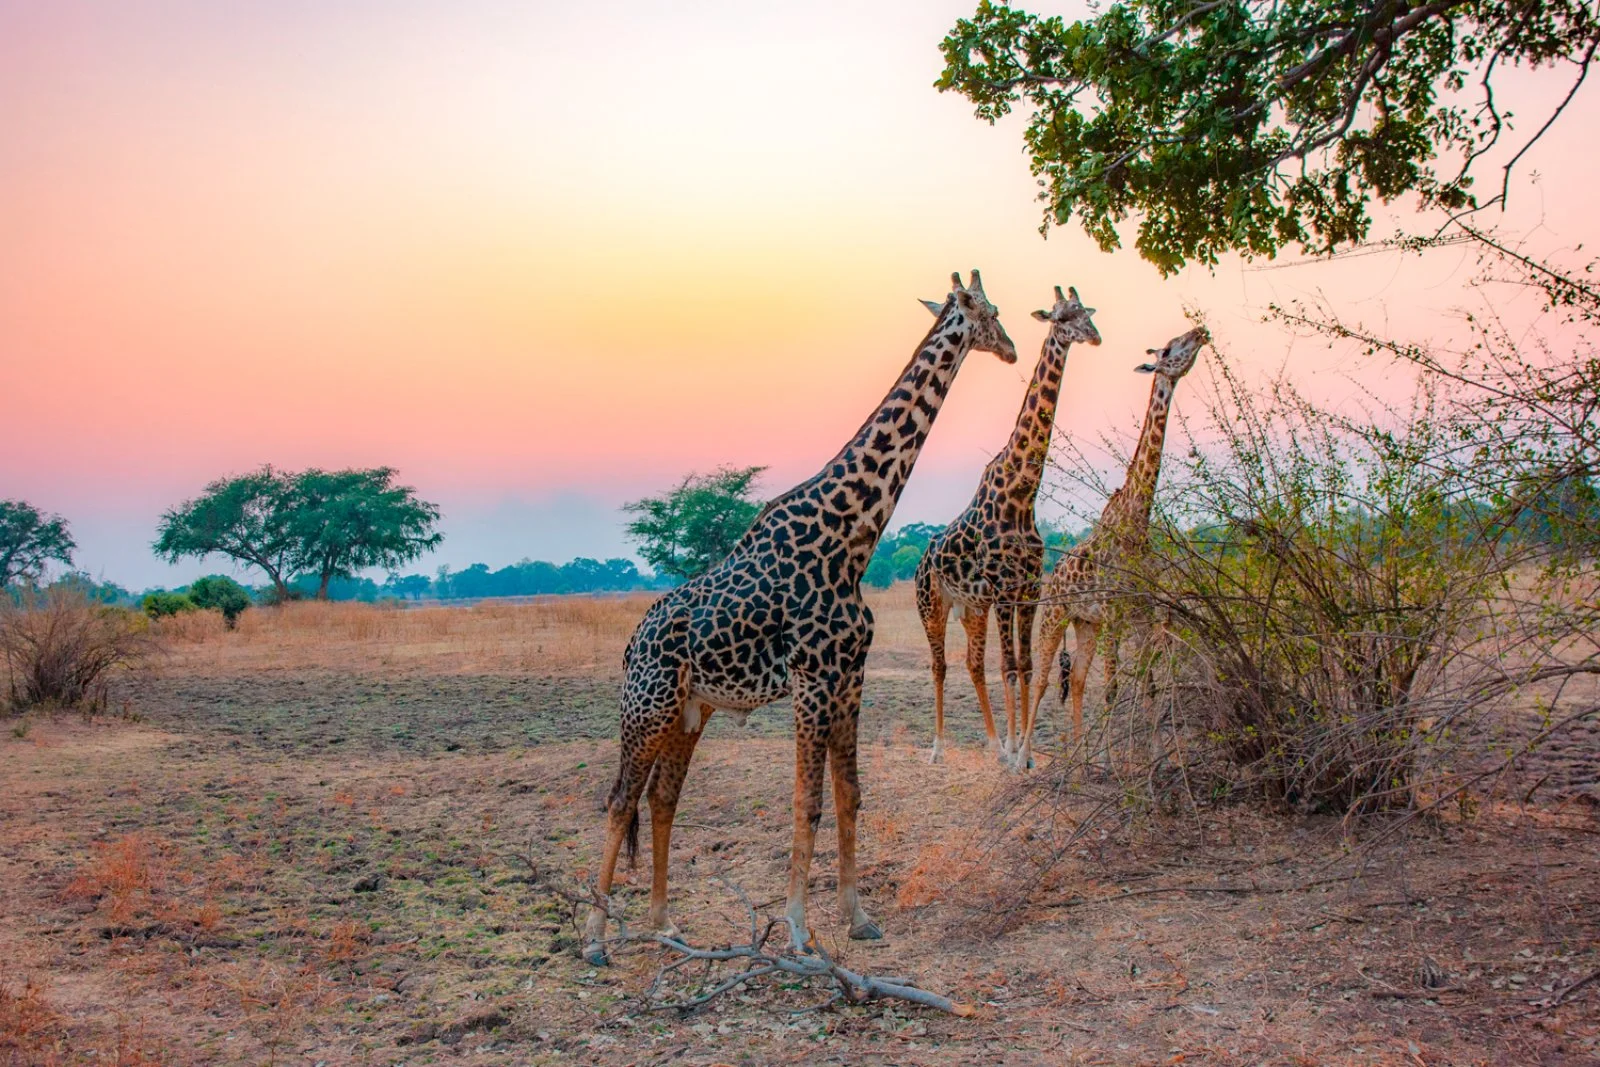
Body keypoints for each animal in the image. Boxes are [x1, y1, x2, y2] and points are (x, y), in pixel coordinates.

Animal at [582, 271, 1017, 966]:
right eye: (991, 311)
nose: (1010, 348)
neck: (853, 535)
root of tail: (632, 644)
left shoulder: (850, 676)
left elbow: (849, 797)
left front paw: (857, 917)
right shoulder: (812, 680)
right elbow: (805, 803)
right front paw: (795, 929)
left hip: (690, 711)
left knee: (663, 797)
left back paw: (664, 923)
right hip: (646, 705)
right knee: (621, 797)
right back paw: (597, 938)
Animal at [915, 283, 1100, 767]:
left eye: (1087, 312)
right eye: (1063, 316)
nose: (1094, 336)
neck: (1022, 494)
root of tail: (922, 558)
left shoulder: (1028, 589)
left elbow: (1027, 666)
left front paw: (1023, 753)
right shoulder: (1002, 590)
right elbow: (1010, 668)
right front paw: (1018, 750)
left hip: (971, 609)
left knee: (972, 664)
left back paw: (994, 744)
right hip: (932, 605)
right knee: (941, 665)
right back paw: (939, 748)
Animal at [1017, 326, 1203, 777]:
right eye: (1169, 349)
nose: (1200, 331)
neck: (1137, 522)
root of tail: (1054, 575)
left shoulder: (1141, 615)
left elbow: (1148, 686)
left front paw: (1154, 759)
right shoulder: (1116, 615)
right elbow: (1114, 689)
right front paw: (1113, 764)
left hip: (1087, 624)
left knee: (1079, 680)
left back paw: (1080, 760)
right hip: (1056, 617)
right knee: (1044, 679)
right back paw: (1026, 757)